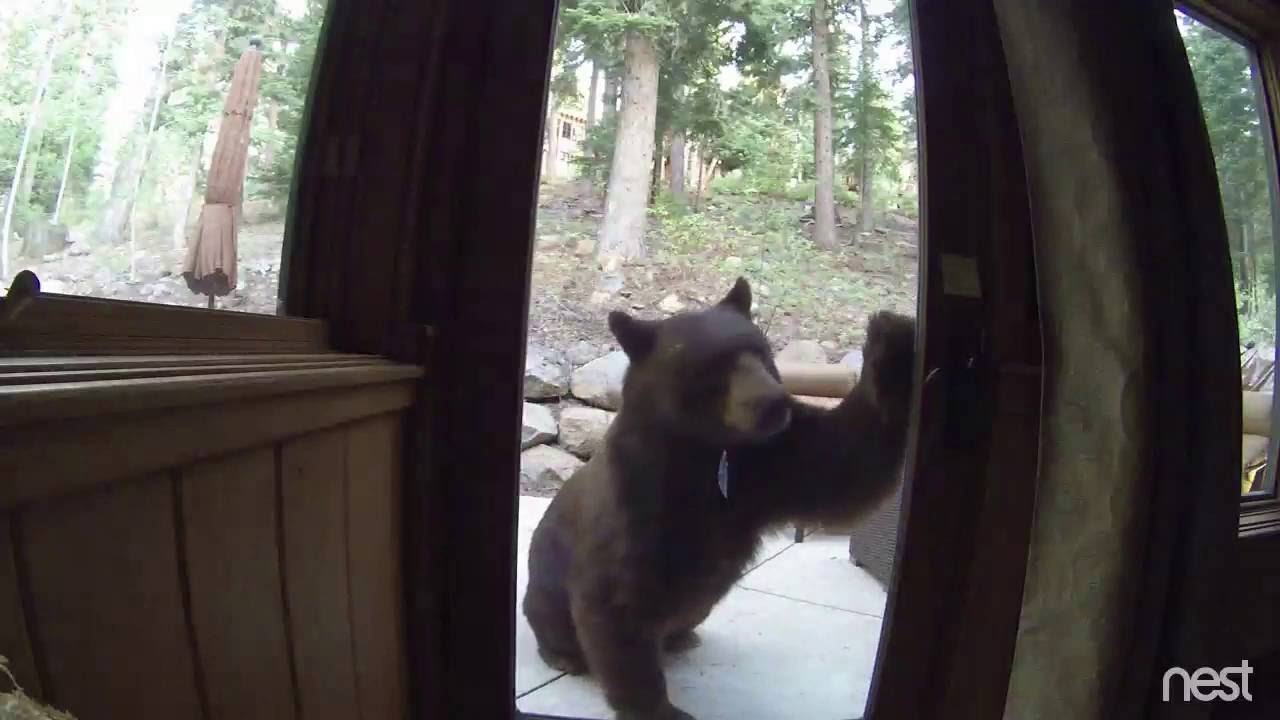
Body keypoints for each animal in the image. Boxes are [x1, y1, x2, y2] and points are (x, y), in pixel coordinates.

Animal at [522, 277, 916, 720]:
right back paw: (564, 656)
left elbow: (840, 465)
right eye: (713, 365)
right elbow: (615, 600)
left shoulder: (772, 463)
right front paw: (659, 708)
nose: (773, 403)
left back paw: (680, 638)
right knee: (551, 616)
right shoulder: (638, 501)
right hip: (545, 587)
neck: (709, 451)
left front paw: (893, 339)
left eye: (759, 350)